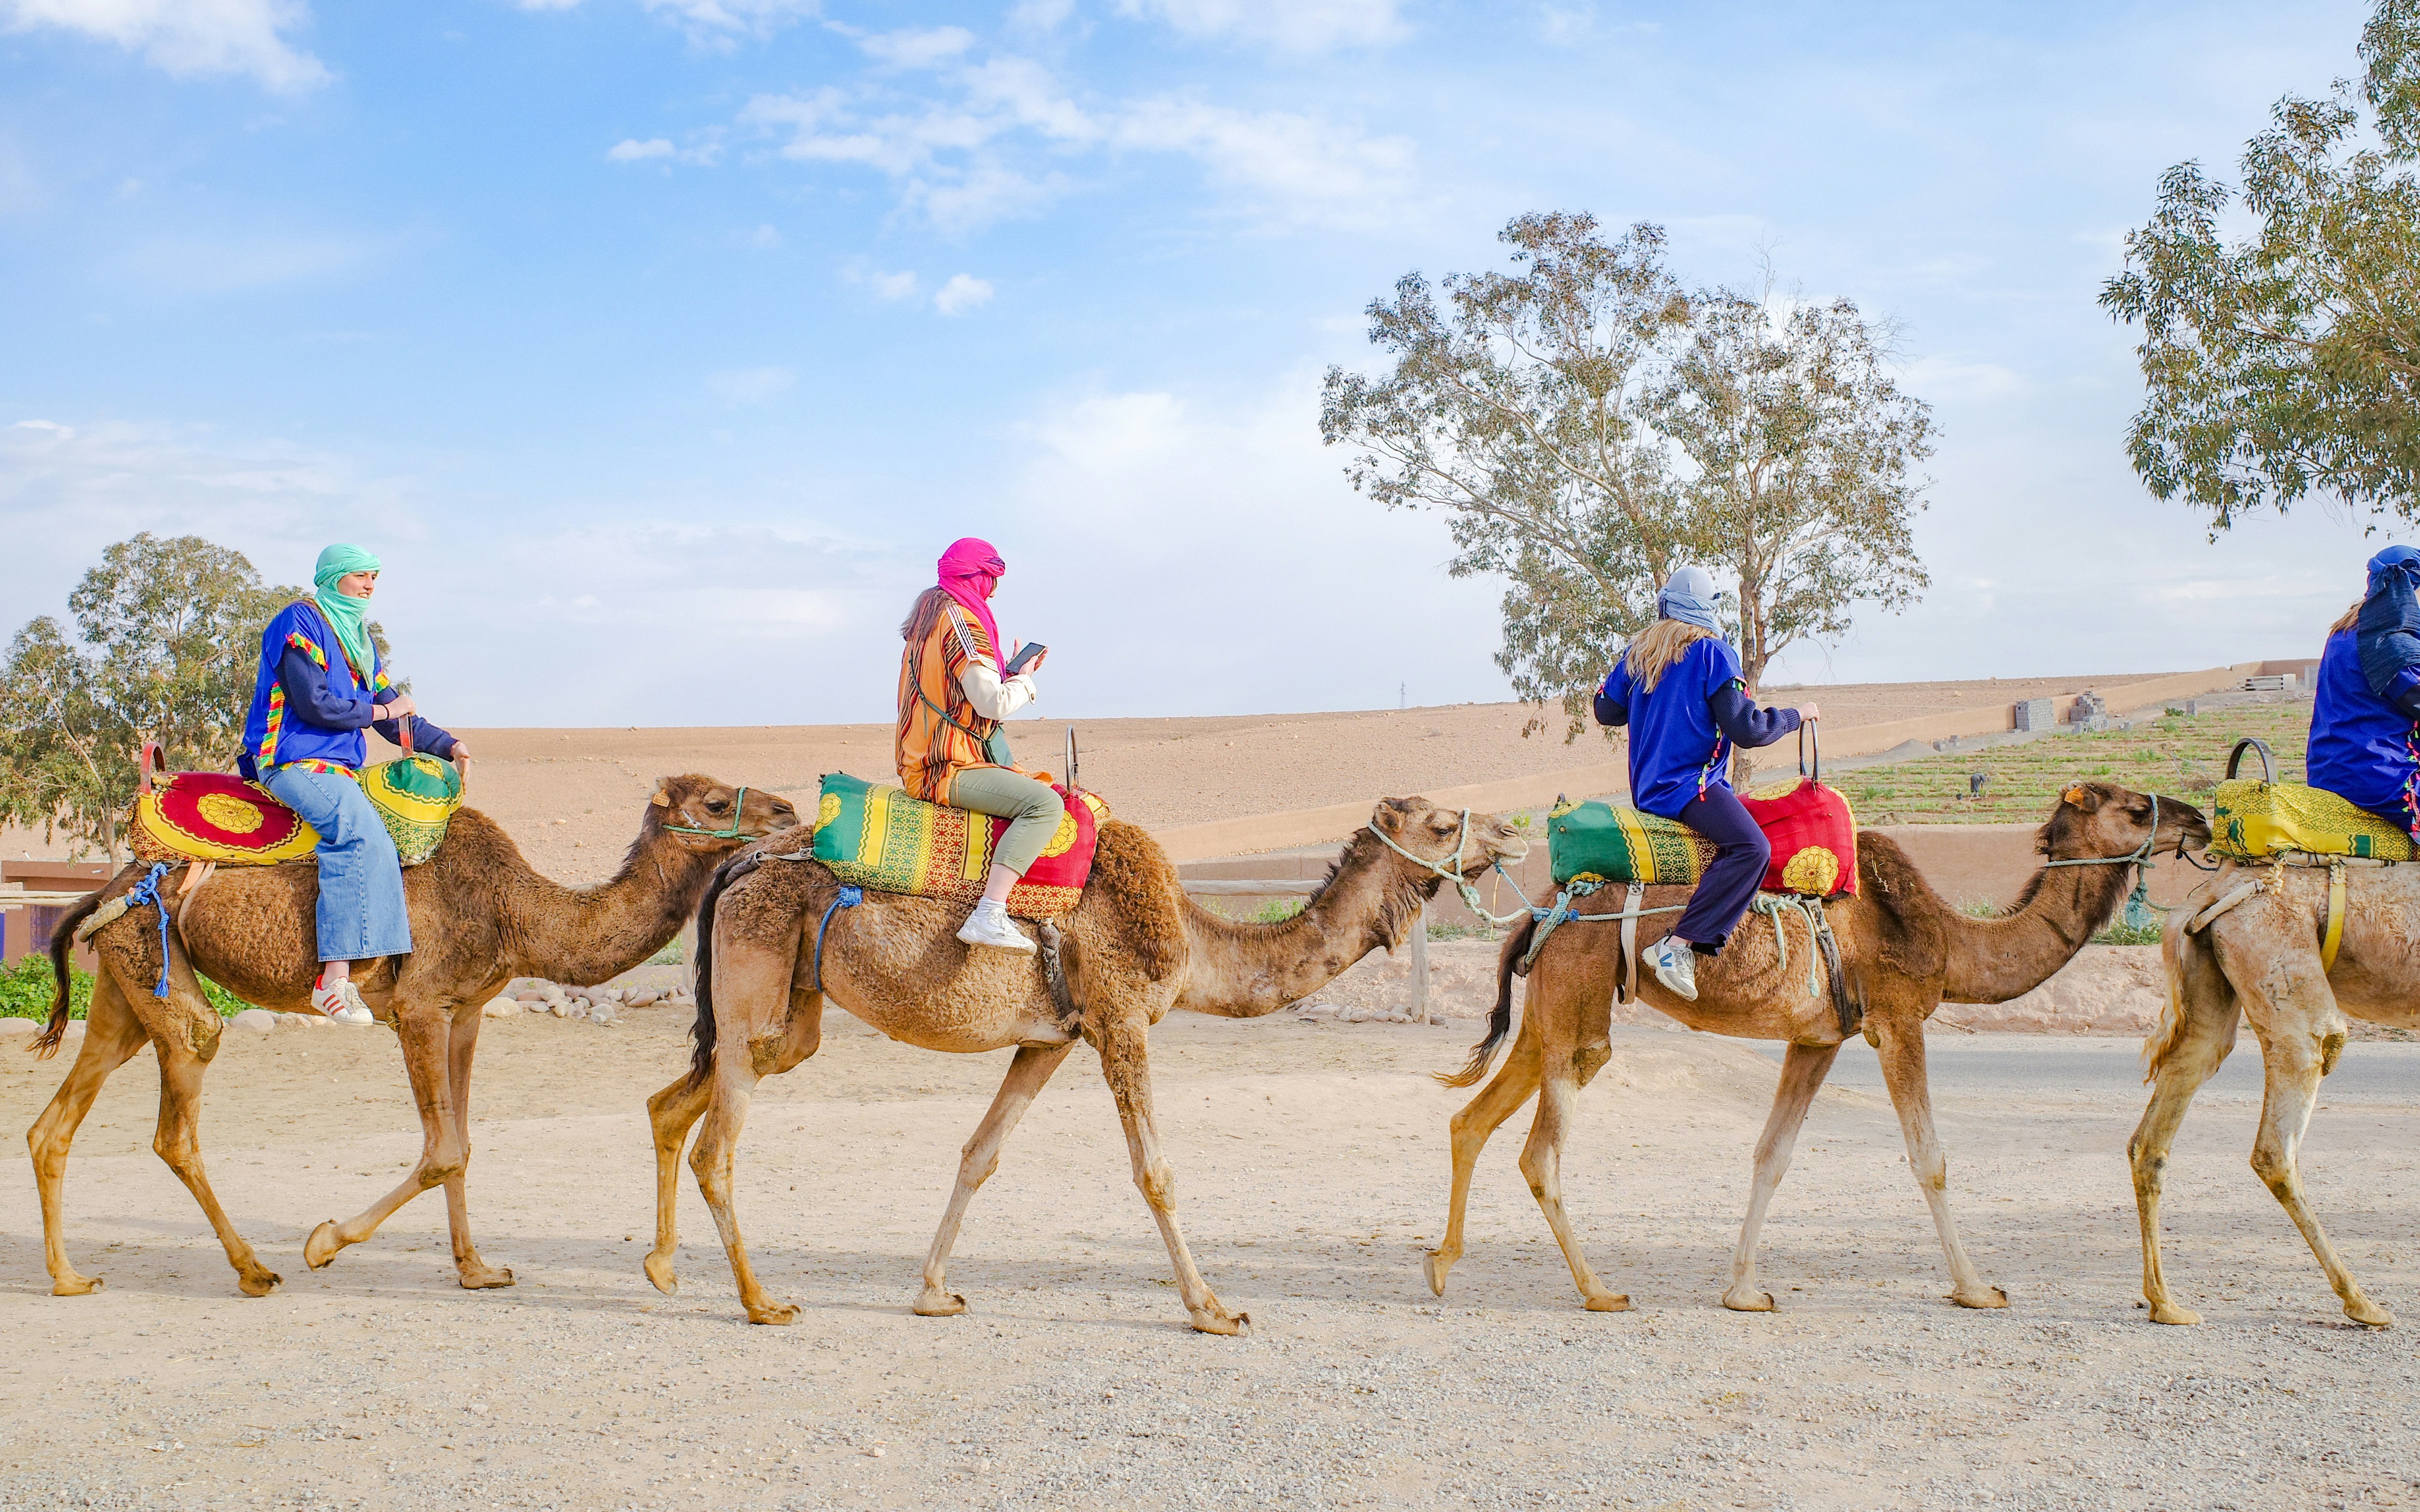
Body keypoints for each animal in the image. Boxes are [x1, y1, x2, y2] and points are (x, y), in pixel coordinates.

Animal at [26, 772, 796, 1299]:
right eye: (716, 803)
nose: (788, 811)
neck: (514, 909)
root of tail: (108, 886)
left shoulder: (467, 1009)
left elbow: (462, 1142)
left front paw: (476, 1269)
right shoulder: (419, 1005)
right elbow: (443, 1147)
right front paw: (325, 1242)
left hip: (126, 981)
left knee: (55, 1121)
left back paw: (69, 1276)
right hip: (158, 966)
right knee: (181, 1103)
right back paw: (253, 1268)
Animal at [641, 795, 1528, 1334]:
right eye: (1442, 824)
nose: (1515, 831)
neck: (1195, 941)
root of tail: (738, 865)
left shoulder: (1052, 1038)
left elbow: (980, 1154)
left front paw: (932, 1291)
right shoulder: (1121, 1020)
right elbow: (1155, 1172)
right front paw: (1212, 1307)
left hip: (787, 1011)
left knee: (675, 1101)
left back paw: (661, 1268)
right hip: (757, 974)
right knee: (717, 1146)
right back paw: (761, 1301)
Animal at [1425, 782, 2209, 1313]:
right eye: (2137, 809)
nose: (2199, 819)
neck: (1953, 942)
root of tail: (1543, 912)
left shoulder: (1818, 1037)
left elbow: (1772, 1155)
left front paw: (1744, 1290)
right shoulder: (1897, 1019)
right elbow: (1930, 1160)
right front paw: (1977, 1287)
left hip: (1548, 1016)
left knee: (1470, 1120)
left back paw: (1441, 1264)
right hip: (1581, 1013)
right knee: (1541, 1152)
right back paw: (1598, 1289)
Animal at [2131, 855, 2420, 1328]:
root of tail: (2213, 891)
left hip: (2210, 982)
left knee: (2154, 1133)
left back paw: (2165, 1303)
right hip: (2278, 970)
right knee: (2278, 1138)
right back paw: (2361, 1302)